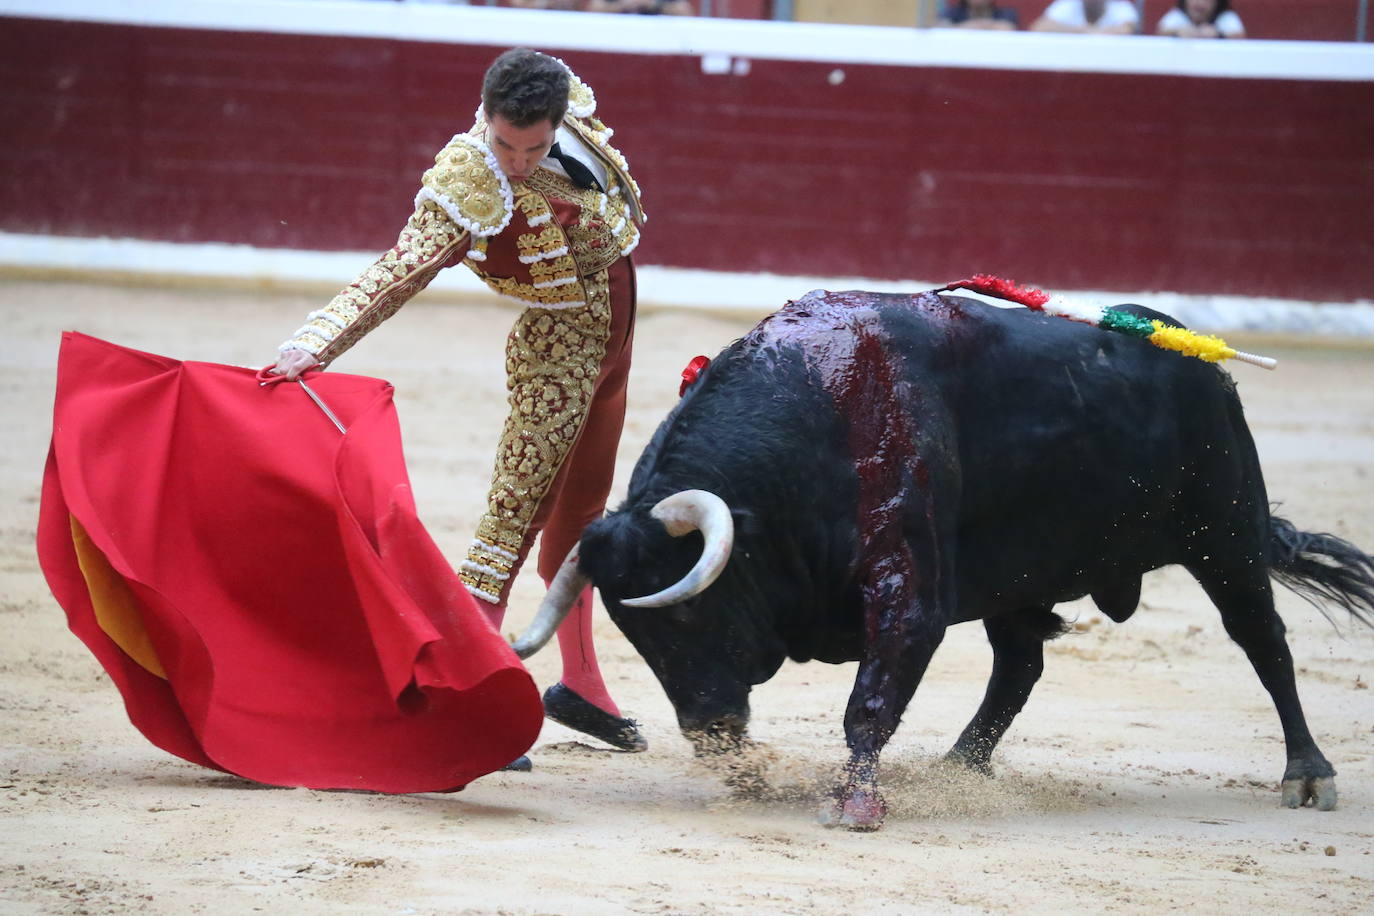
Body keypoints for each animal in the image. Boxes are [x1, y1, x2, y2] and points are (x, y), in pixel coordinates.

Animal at [557, 292, 1374, 829]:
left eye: (691, 608)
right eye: (636, 635)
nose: (709, 729)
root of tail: (1200, 359)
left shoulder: (910, 591)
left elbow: (871, 701)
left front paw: (855, 801)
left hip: (1225, 532)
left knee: (1263, 640)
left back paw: (1308, 776)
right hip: (1021, 578)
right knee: (1019, 664)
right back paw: (961, 765)